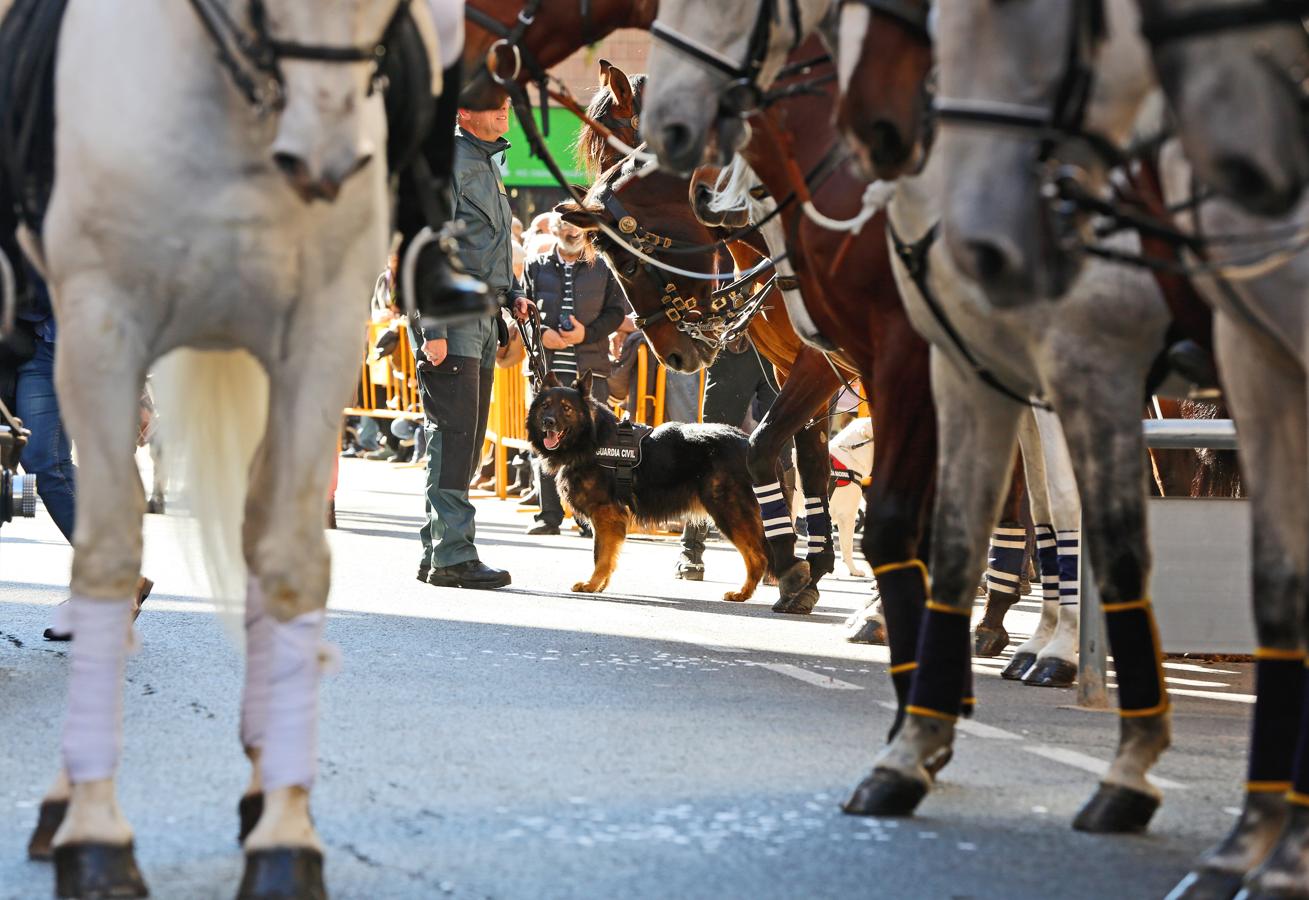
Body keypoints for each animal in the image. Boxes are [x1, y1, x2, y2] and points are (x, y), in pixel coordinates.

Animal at [11, 3, 439, 894]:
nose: (326, 157)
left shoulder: (320, 340)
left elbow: (291, 563)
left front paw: (285, 832)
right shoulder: (99, 332)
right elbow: (106, 554)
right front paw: (95, 833)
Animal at [523, 368, 806, 601]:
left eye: (566, 408)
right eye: (545, 406)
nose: (548, 422)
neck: (592, 438)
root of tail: (748, 442)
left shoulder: (606, 514)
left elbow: (600, 555)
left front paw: (592, 585)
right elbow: (605, 555)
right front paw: (600, 585)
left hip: (728, 512)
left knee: (758, 556)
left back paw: (743, 593)